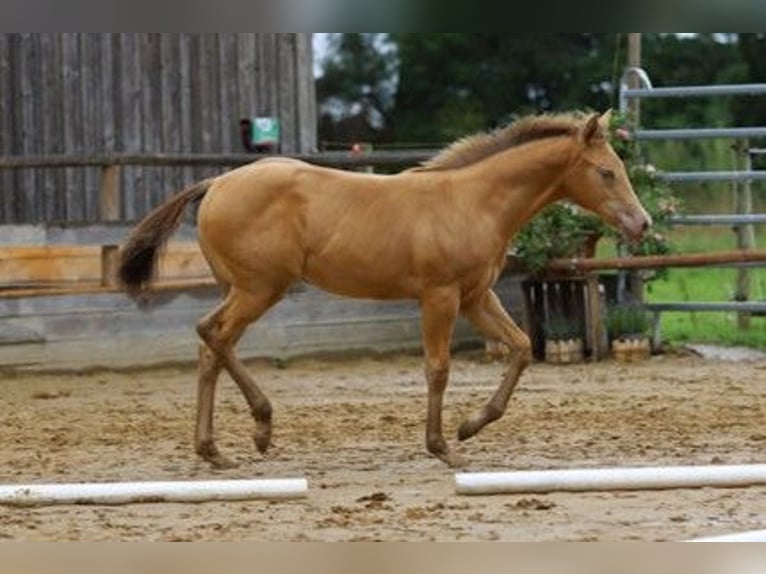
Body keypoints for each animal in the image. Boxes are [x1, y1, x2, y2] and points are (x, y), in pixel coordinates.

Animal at [118, 109, 651, 468]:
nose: (642, 224)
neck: (474, 202)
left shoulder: (476, 297)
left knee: (212, 348)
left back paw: (216, 449)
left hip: (242, 288)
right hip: (259, 288)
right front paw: (443, 448)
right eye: (606, 171)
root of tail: (216, 182)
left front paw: (469, 427)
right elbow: (438, 369)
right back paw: (260, 426)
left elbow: (520, 347)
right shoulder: (440, 297)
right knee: (212, 334)